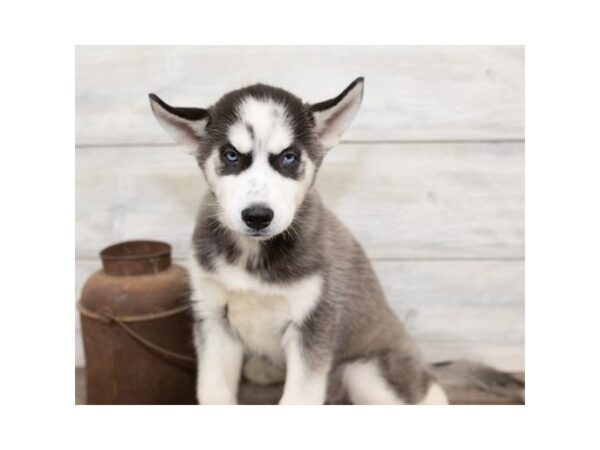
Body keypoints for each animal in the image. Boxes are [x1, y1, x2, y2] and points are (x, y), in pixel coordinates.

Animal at [149, 77, 520, 404]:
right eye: (230, 155)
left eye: (289, 157)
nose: (257, 216)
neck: (253, 254)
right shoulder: (214, 321)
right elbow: (213, 393)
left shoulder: (314, 324)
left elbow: (298, 400)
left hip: (366, 372)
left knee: (429, 392)